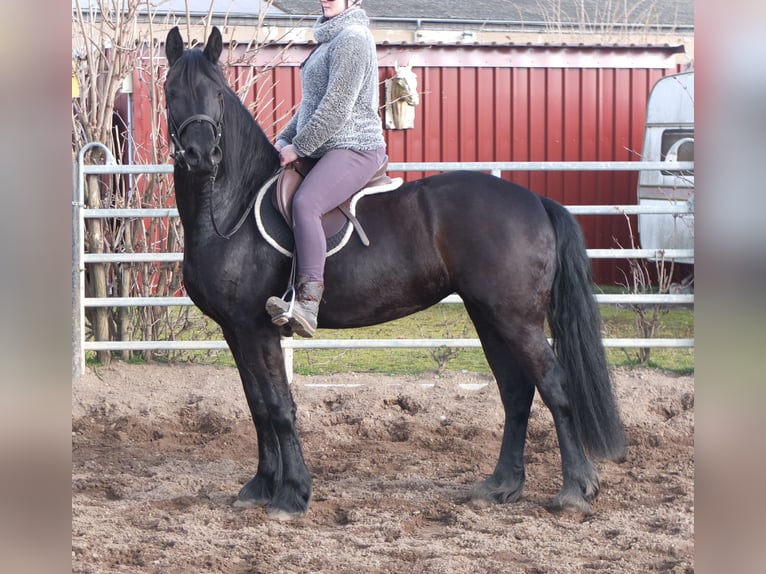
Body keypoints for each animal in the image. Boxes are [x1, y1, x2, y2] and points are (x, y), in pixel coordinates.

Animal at [165, 28, 628, 520]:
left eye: (218, 92)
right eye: (171, 91)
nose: (200, 155)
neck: (230, 207)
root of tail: (535, 200)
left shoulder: (257, 328)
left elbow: (278, 406)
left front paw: (291, 494)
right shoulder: (236, 330)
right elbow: (256, 406)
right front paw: (260, 486)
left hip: (516, 319)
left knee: (554, 386)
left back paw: (575, 489)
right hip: (489, 316)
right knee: (516, 391)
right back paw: (501, 485)